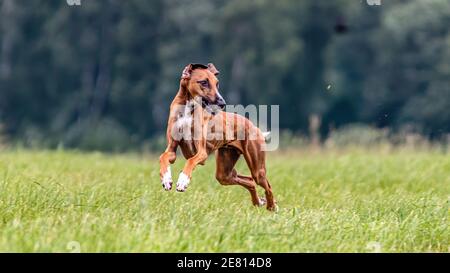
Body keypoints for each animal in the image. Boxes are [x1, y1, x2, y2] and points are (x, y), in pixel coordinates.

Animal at [158, 63, 278, 210]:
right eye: (204, 82)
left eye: (217, 83)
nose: (222, 103)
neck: (188, 108)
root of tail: (254, 126)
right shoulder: (171, 149)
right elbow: (163, 157)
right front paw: (166, 179)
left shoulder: (201, 152)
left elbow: (190, 161)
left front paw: (183, 181)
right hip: (224, 173)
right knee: (249, 181)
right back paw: (258, 202)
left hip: (257, 169)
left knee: (267, 186)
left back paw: (272, 207)